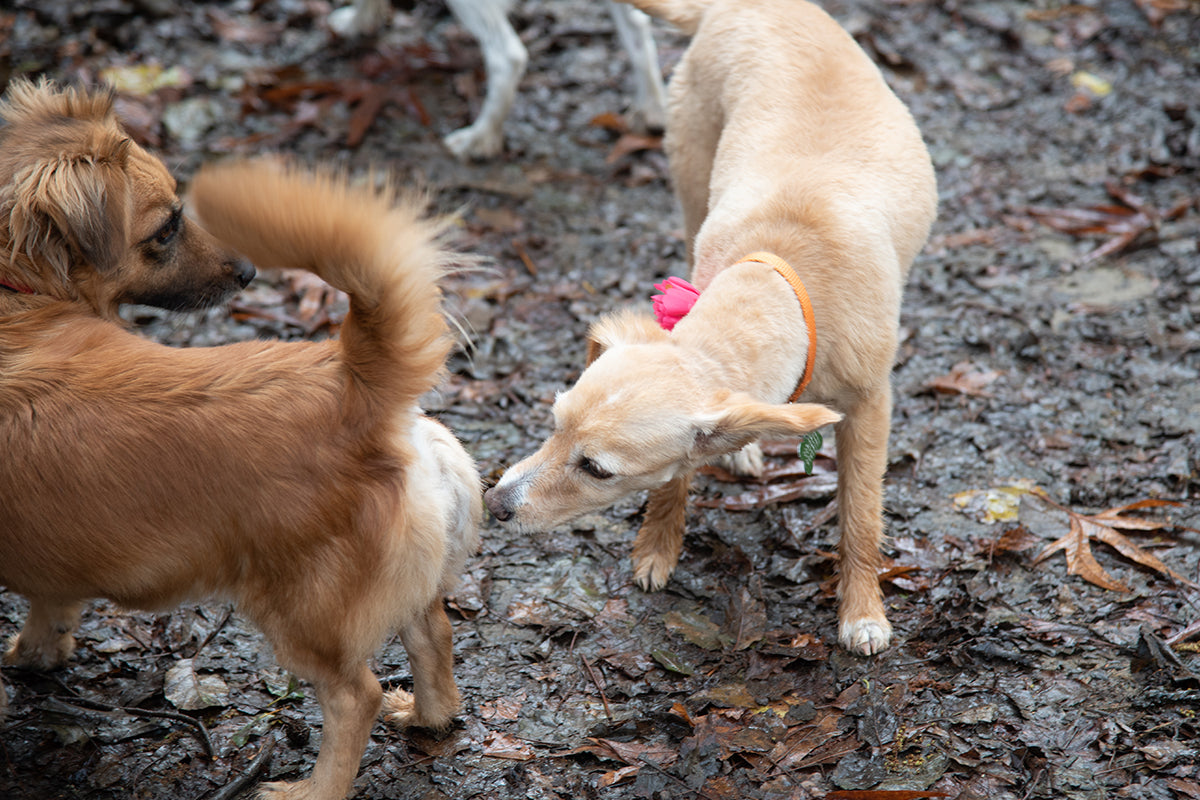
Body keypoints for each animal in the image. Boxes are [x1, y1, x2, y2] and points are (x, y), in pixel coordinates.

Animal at [1, 155, 477, 800]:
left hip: (301, 614)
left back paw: (313, 789)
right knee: (433, 637)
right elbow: (50, 611)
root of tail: (351, 383)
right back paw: (428, 716)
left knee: (356, 696)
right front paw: (35, 655)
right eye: (166, 229)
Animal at [484, 0, 936, 657]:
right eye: (553, 425)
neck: (785, 282)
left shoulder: (871, 408)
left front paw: (862, 611)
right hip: (691, 179)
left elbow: (860, 516)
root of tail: (739, 5)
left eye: (596, 469)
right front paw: (656, 545)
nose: (493, 503)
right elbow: (679, 474)